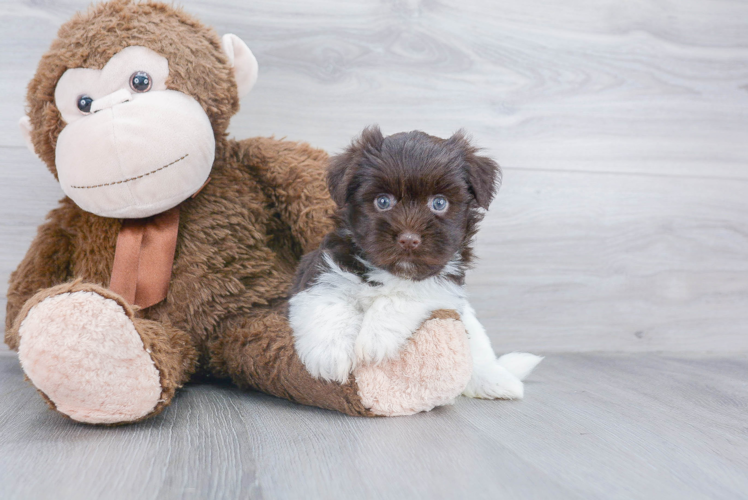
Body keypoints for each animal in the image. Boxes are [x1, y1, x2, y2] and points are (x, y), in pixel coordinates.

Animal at [290, 127, 540, 400]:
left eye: (439, 203)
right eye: (383, 201)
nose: (409, 239)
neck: (390, 271)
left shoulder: (442, 285)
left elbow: (402, 296)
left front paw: (375, 337)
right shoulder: (323, 268)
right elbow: (328, 301)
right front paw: (329, 354)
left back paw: (497, 379)